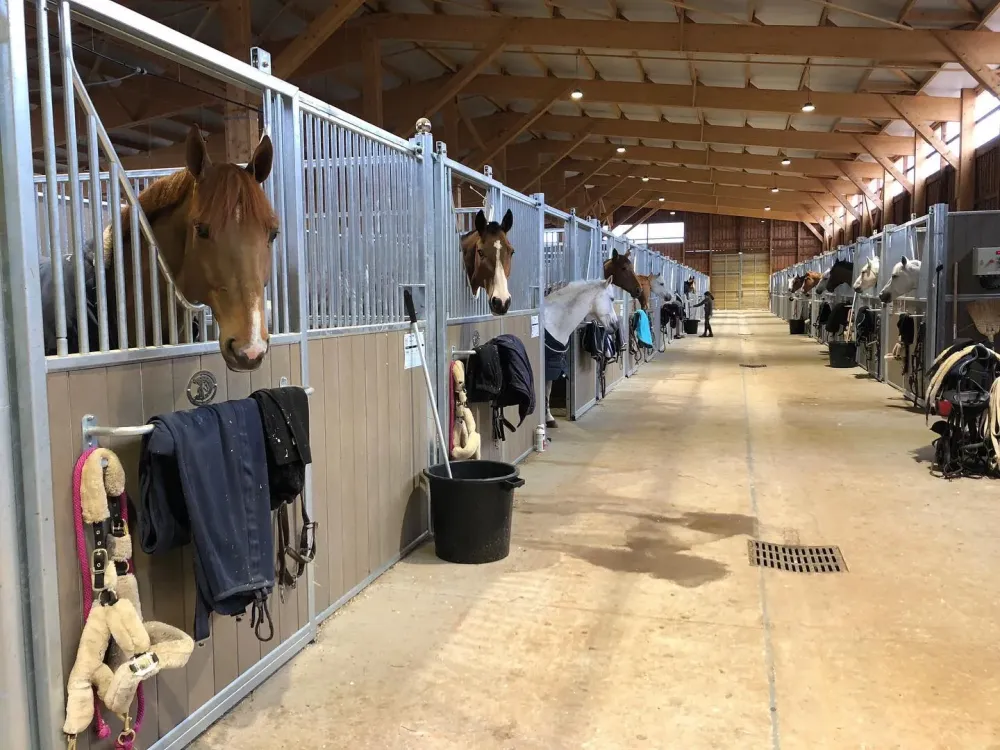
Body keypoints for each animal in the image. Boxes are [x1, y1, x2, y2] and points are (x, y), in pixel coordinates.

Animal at [543, 279, 618, 428]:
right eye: (612, 298)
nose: (616, 326)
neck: (553, 322)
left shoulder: (551, 368)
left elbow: (547, 391)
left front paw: (549, 419)